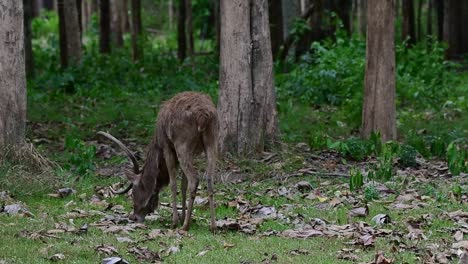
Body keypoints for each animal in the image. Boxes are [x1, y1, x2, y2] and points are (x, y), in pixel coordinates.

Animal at [98, 92, 218, 232]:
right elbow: (183, 185)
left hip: (182, 143)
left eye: (133, 193)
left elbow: (173, 184)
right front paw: (182, 217)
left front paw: (175, 221)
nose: (133, 217)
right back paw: (213, 226)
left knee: (194, 179)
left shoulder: (166, 145)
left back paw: (185, 226)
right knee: (209, 179)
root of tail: (203, 116)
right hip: (212, 141)